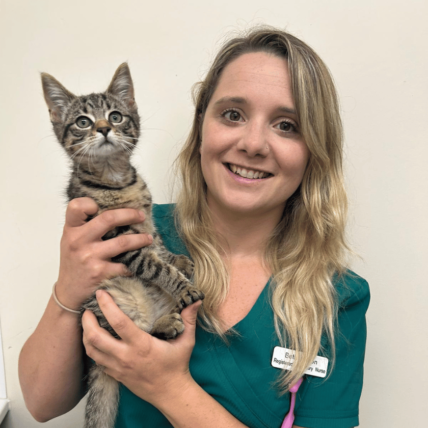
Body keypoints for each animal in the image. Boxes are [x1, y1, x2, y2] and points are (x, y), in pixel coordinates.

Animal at [41, 63, 204, 428]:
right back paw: (163, 324)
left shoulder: (145, 222)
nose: (103, 129)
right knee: (133, 338)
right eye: (82, 121)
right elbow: (154, 265)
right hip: (107, 310)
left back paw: (166, 319)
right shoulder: (120, 240)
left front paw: (178, 260)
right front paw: (181, 283)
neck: (115, 179)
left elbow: (157, 245)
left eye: (115, 116)